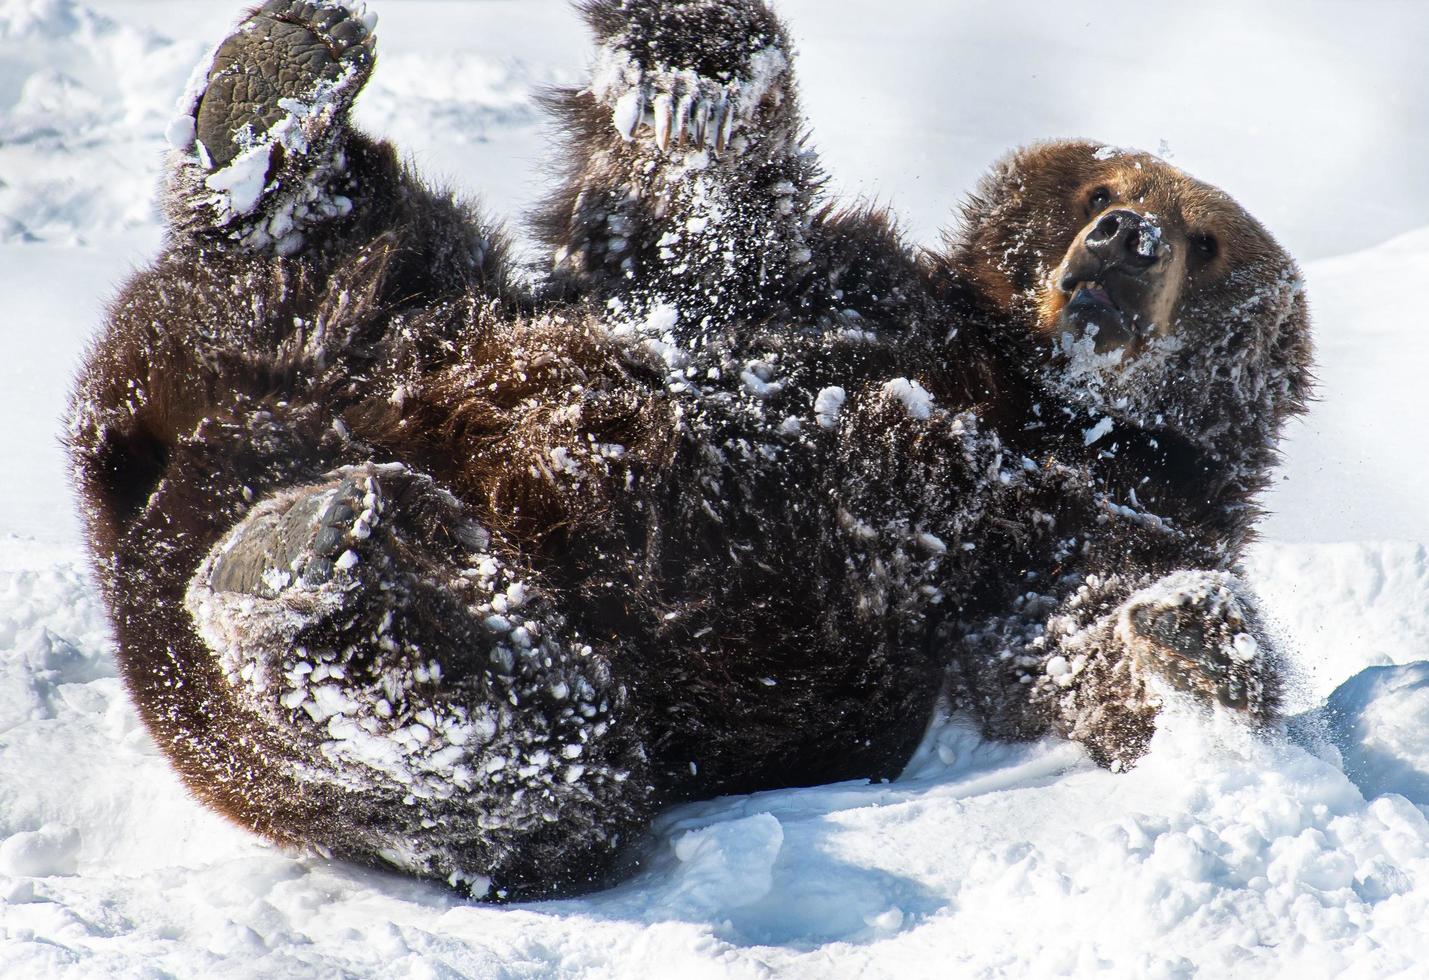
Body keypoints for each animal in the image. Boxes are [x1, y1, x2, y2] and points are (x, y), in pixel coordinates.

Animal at [69, 0, 1314, 902]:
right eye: (1101, 183)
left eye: (1206, 239)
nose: (1125, 236)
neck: (1036, 398)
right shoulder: (834, 295)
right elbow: (697, 219)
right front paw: (693, 58)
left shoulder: (1065, 528)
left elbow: (1084, 633)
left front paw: (1192, 634)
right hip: (372, 339)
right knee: (328, 258)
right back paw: (270, 110)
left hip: (590, 685)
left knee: (531, 760)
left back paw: (308, 570)